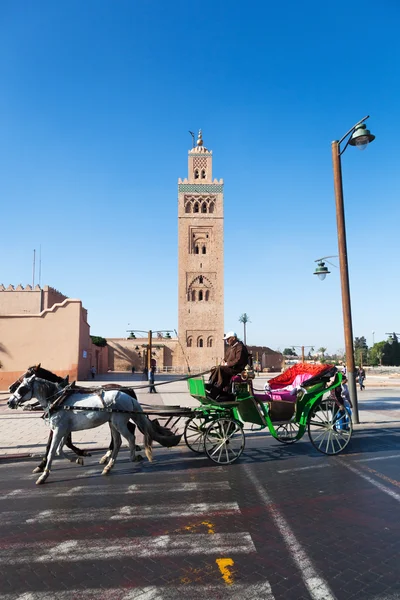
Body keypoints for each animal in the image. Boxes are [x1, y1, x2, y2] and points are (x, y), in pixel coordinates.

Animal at [8, 376, 180, 482]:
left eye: (22, 388)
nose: (9, 402)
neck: (59, 400)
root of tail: (129, 396)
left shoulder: (58, 429)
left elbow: (51, 451)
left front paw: (44, 475)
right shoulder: (64, 429)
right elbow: (59, 450)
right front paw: (78, 458)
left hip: (118, 421)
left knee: (130, 437)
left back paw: (132, 457)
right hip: (113, 422)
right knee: (117, 442)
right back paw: (108, 465)